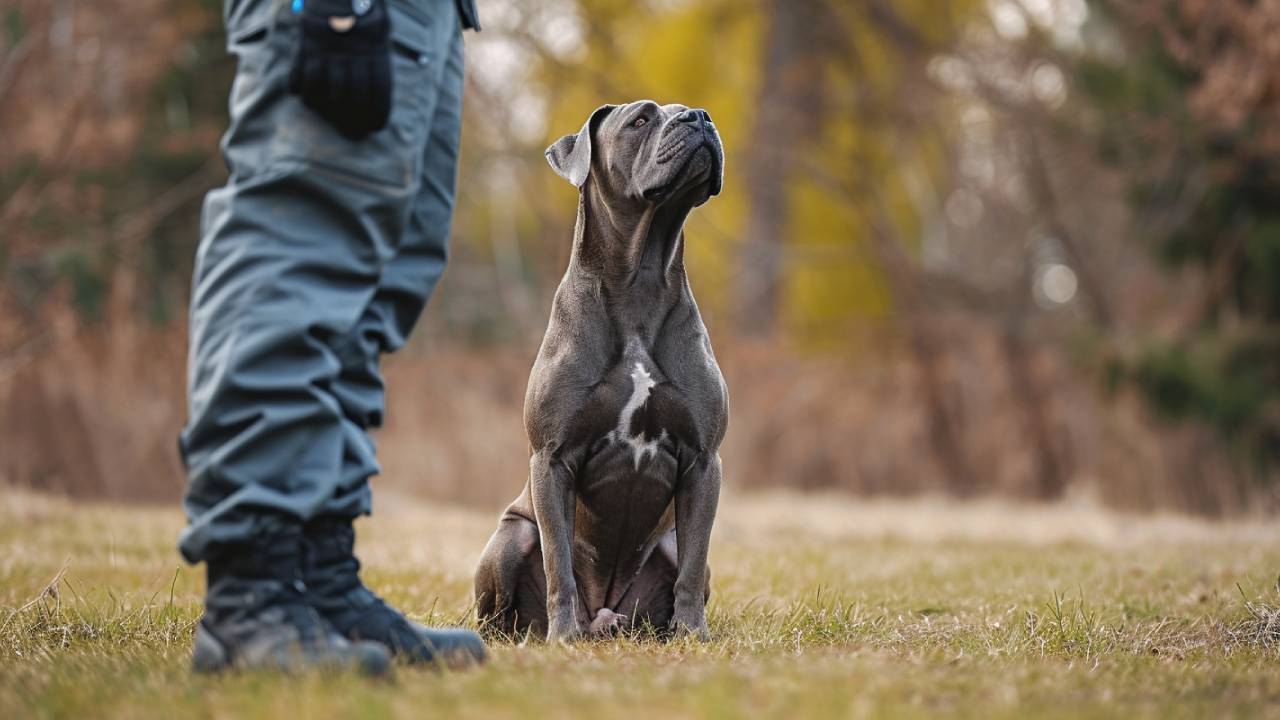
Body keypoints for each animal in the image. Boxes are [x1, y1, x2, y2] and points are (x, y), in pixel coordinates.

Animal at [473, 99, 732, 638]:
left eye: (689, 111)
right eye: (641, 120)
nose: (699, 117)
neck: (641, 279)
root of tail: (605, 617)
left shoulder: (704, 460)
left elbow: (693, 564)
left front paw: (693, 634)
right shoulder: (551, 459)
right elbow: (558, 562)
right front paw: (562, 635)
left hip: (665, 547)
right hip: (509, 536)